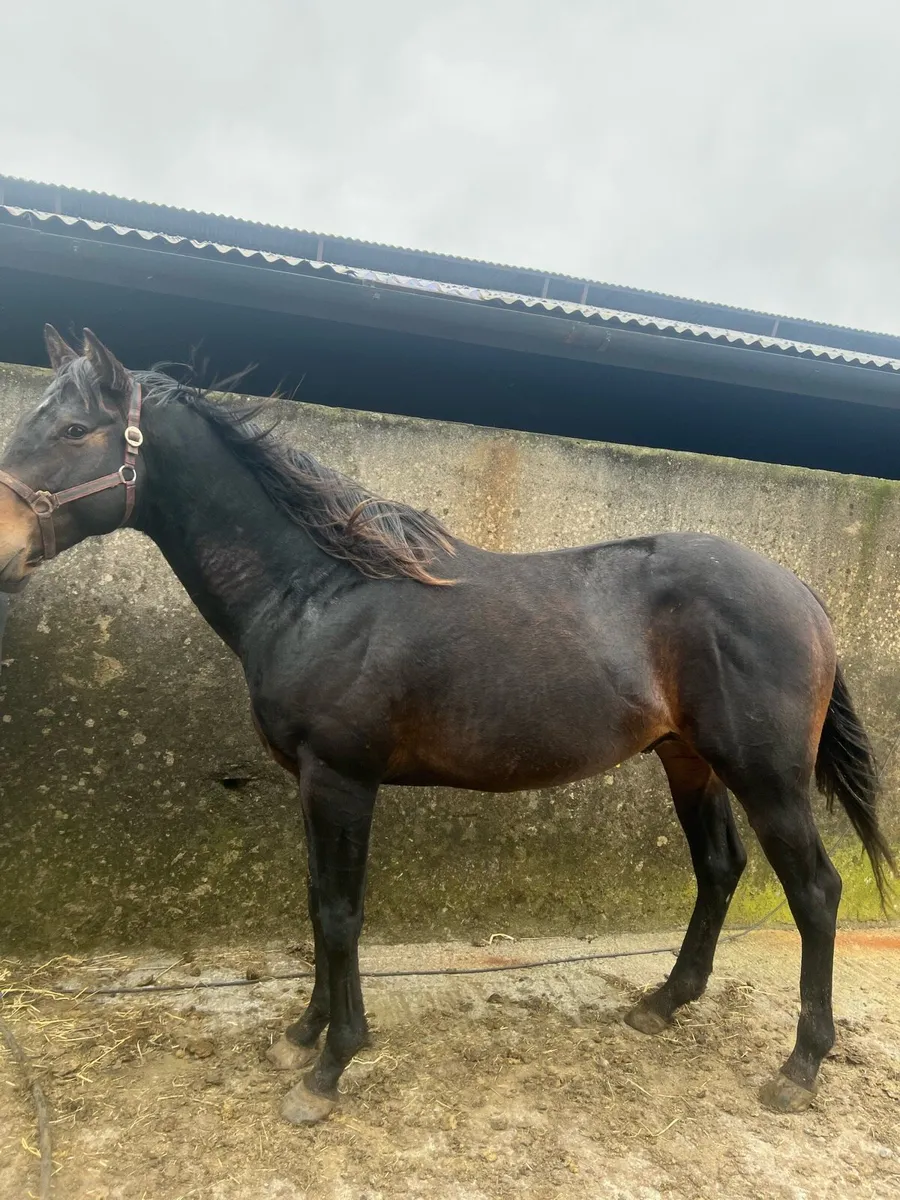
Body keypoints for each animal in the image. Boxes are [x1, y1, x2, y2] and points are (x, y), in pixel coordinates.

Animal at [0, 327, 894, 1125]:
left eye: (75, 430)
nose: (4, 547)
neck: (321, 590)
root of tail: (800, 592)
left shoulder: (341, 778)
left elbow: (340, 913)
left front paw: (328, 1069)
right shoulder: (312, 784)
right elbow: (317, 901)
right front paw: (300, 1035)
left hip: (766, 774)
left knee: (815, 891)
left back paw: (799, 1068)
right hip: (688, 760)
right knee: (718, 868)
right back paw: (662, 1004)